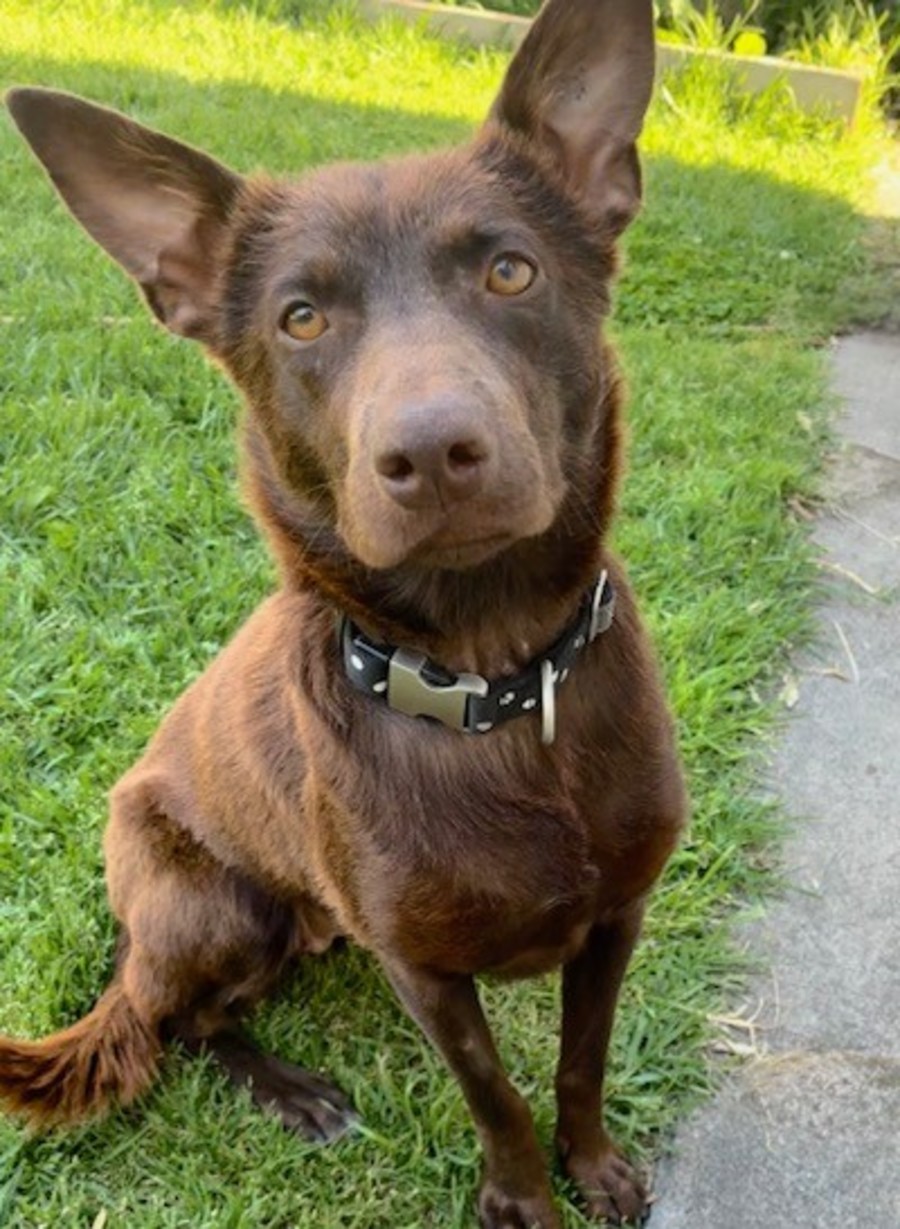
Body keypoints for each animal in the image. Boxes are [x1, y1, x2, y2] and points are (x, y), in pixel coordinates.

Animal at [2, 1, 686, 1224]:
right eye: (303, 318)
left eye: (511, 270)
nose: (433, 448)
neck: (494, 679)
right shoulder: (425, 968)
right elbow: (494, 1090)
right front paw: (524, 1196)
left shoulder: (618, 915)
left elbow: (580, 1058)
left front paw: (594, 1164)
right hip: (213, 905)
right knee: (180, 1020)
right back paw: (291, 1089)